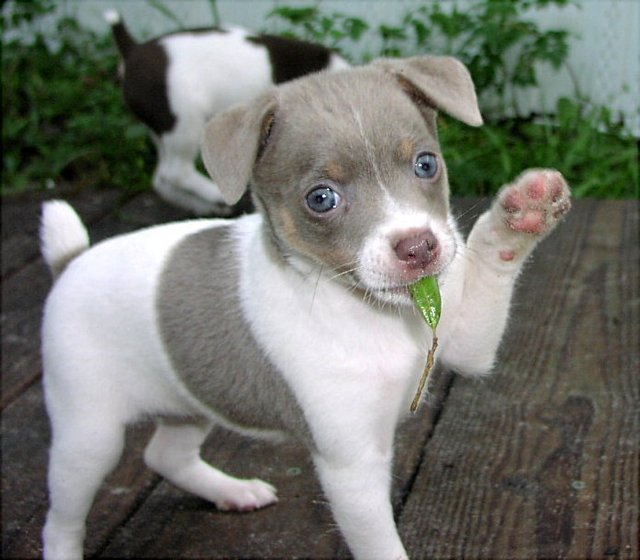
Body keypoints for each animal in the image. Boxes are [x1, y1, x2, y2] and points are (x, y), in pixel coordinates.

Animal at [40, 53, 568, 560]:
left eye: (425, 164)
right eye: (321, 198)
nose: (418, 247)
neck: (370, 315)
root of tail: (71, 261)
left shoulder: (463, 342)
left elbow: (490, 262)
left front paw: (523, 211)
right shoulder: (352, 466)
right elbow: (383, 548)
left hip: (189, 402)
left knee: (165, 455)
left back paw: (231, 492)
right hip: (90, 435)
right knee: (62, 518)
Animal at [107, 11, 352, 217]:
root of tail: (132, 51)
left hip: (162, 129)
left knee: (162, 178)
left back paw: (202, 207)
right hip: (184, 122)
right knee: (176, 171)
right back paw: (214, 194)